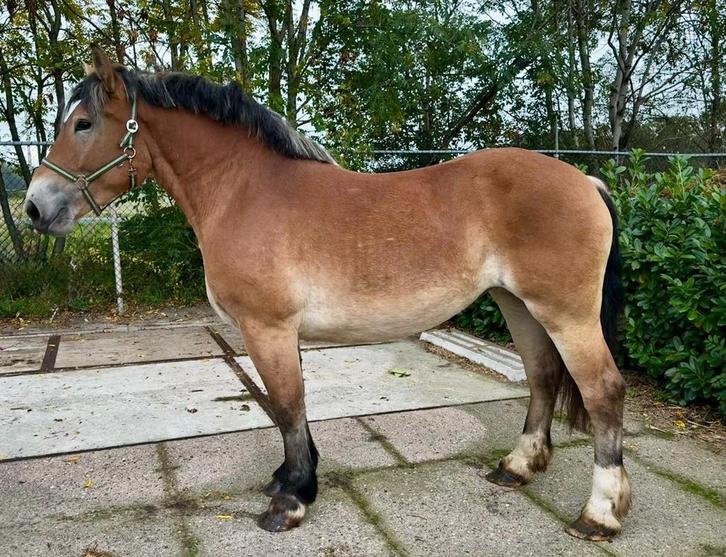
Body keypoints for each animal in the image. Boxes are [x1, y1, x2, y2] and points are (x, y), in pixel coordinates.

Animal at [24, 46, 631, 540]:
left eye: (82, 123)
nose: (34, 207)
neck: (242, 190)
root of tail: (585, 181)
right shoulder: (279, 333)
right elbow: (290, 406)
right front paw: (291, 480)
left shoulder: (267, 327)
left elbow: (287, 405)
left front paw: (291, 501)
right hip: (518, 305)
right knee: (542, 376)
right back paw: (516, 467)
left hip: (566, 313)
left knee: (602, 390)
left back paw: (600, 514)